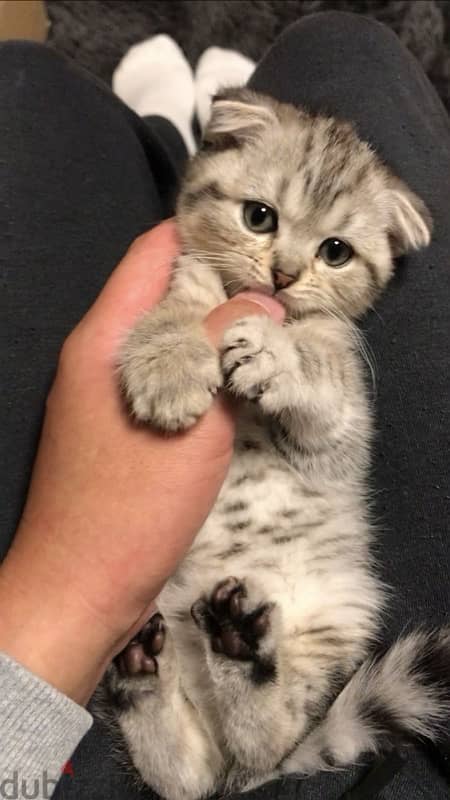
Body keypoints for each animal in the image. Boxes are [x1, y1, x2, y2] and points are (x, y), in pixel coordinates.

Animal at [103, 87, 450, 800]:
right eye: (259, 217)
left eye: (336, 252)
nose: (284, 275)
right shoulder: (186, 276)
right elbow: (177, 307)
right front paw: (168, 362)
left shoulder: (344, 424)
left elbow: (323, 381)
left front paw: (275, 354)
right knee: (188, 777)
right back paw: (143, 674)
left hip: (336, 614)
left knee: (264, 741)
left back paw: (241, 655)